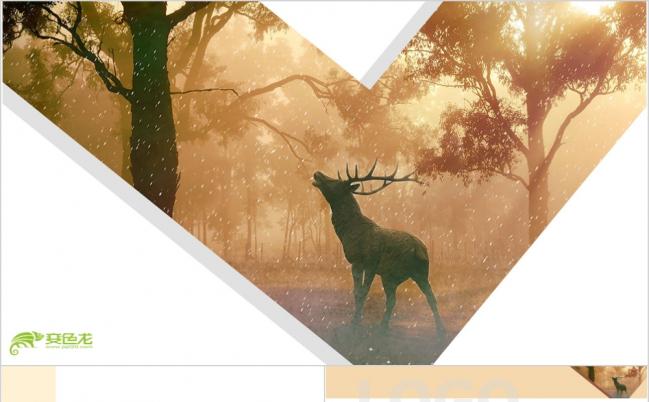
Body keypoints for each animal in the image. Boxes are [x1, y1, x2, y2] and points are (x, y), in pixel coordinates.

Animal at [312, 160, 446, 339]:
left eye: (336, 182)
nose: (317, 173)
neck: (348, 232)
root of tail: (421, 250)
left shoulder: (367, 261)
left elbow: (362, 293)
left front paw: (355, 324)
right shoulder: (357, 264)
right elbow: (355, 292)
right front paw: (356, 321)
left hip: (412, 272)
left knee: (428, 297)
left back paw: (438, 329)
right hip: (397, 275)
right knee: (395, 299)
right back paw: (384, 327)